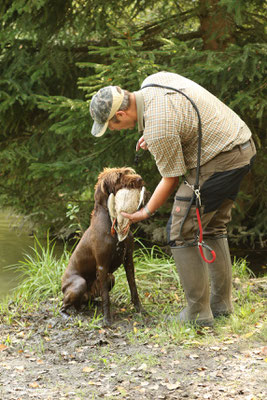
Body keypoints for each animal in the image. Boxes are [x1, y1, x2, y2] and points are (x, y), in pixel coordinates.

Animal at [61, 167, 144, 326]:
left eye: (128, 171)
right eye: (119, 176)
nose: (140, 179)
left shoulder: (128, 260)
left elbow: (133, 288)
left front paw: (140, 309)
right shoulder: (102, 266)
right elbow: (106, 297)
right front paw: (107, 319)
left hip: (111, 278)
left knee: (84, 302)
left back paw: (93, 304)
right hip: (79, 284)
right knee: (63, 305)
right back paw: (68, 315)